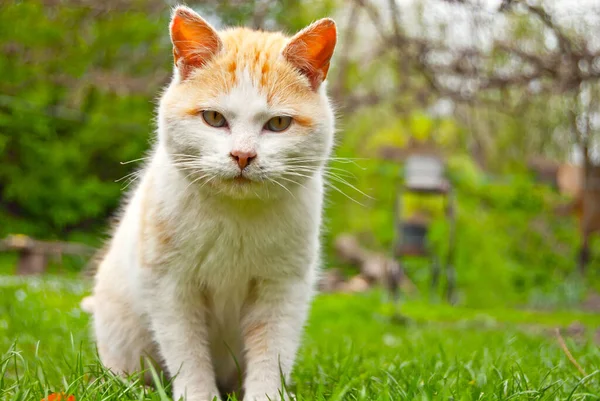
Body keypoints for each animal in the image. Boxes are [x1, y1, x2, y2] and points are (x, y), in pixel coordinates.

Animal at [82, 5, 338, 400]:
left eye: (279, 123)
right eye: (214, 118)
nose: (243, 155)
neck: (235, 217)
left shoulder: (283, 288)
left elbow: (272, 352)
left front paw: (266, 394)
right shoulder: (170, 287)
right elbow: (187, 354)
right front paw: (198, 394)